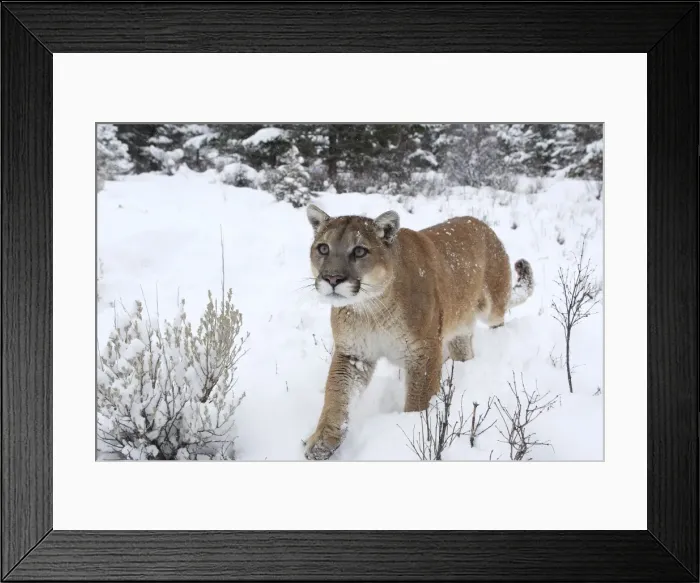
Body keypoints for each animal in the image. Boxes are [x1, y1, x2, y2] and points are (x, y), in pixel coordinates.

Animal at [302, 204, 534, 460]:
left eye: (360, 251)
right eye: (323, 248)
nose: (332, 278)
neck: (370, 309)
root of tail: (481, 223)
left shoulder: (423, 352)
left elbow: (418, 401)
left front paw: (413, 433)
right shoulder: (354, 354)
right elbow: (337, 396)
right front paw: (323, 441)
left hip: (492, 307)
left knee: (499, 319)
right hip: (460, 327)